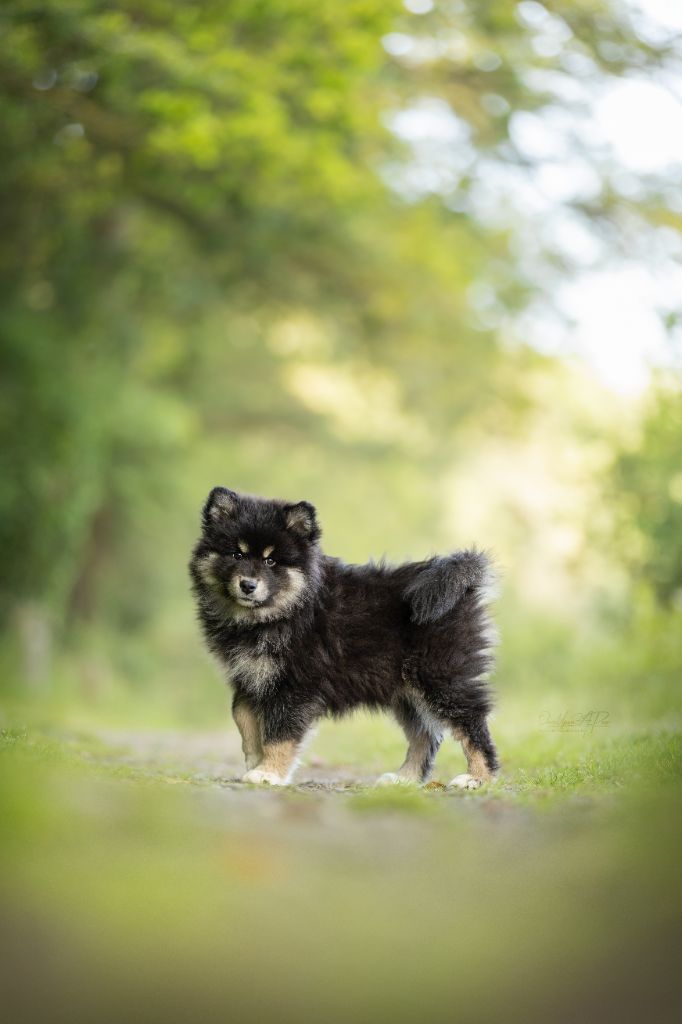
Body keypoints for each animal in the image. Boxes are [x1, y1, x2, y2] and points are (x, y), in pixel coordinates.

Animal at [188, 485, 497, 782]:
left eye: (271, 561)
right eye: (237, 554)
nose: (248, 585)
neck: (284, 611)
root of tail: (464, 586)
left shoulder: (294, 686)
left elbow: (279, 736)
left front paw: (269, 773)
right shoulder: (250, 679)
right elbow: (243, 719)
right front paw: (255, 762)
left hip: (439, 676)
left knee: (471, 723)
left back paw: (478, 778)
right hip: (407, 691)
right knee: (425, 734)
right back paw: (404, 778)